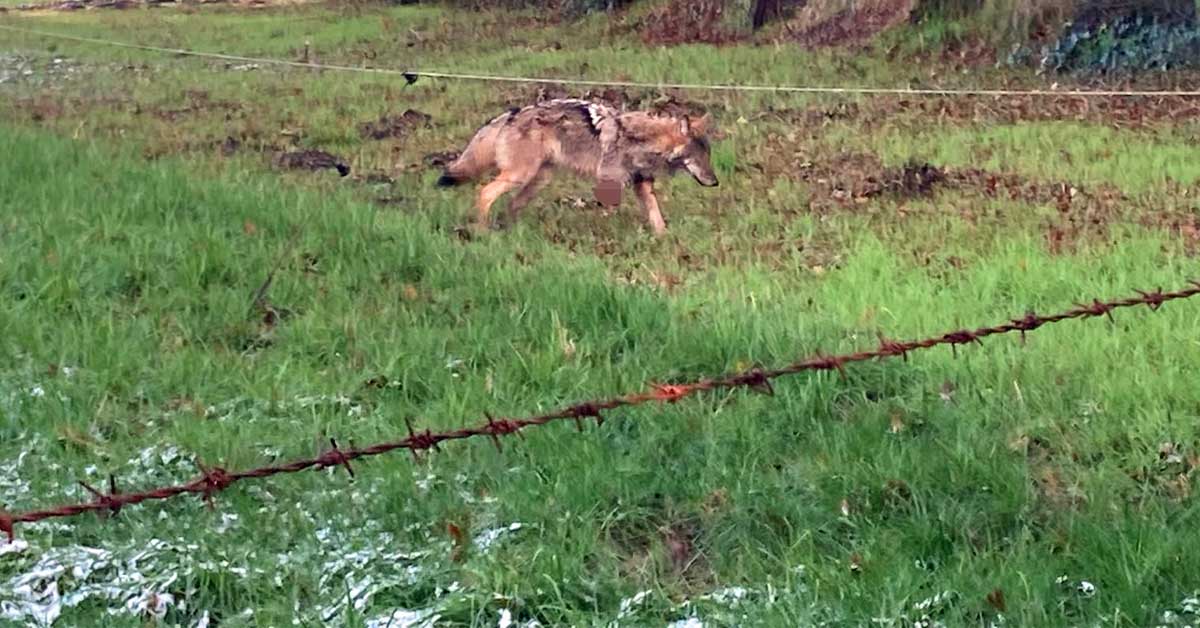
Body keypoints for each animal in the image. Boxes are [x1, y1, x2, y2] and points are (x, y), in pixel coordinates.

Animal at [436, 98, 719, 236]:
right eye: (699, 157)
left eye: (708, 156)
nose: (715, 182)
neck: (644, 140)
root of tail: (511, 114)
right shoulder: (609, 182)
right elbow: (609, 212)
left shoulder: (642, 183)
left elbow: (656, 215)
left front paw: (664, 238)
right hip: (519, 176)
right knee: (484, 193)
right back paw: (484, 232)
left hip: (538, 180)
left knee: (511, 205)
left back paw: (511, 232)